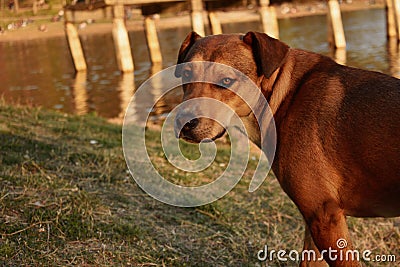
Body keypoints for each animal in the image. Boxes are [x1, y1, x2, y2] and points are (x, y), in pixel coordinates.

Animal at [174, 30, 400, 266]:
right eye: (186, 74)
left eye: (226, 80)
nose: (183, 122)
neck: (283, 97)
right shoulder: (317, 217)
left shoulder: (325, 215)